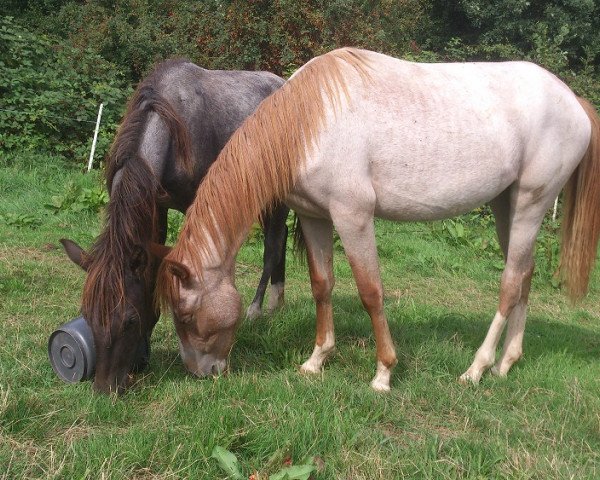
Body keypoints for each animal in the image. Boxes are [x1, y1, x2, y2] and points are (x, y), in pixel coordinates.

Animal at [60, 59, 286, 394]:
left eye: (129, 320)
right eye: (88, 315)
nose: (105, 388)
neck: (170, 126)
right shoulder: (157, 207)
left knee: (273, 245)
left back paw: (260, 309)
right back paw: (276, 303)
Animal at [156, 48, 600, 392]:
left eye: (185, 315)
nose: (201, 372)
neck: (311, 121)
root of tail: (573, 101)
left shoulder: (353, 217)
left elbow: (371, 292)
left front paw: (384, 373)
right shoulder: (315, 217)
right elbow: (322, 285)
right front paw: (316, 360)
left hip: (530, 204)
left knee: (510, 284)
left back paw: (477, 368)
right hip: (507, 206)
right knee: (524, 274)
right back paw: (507, 363)